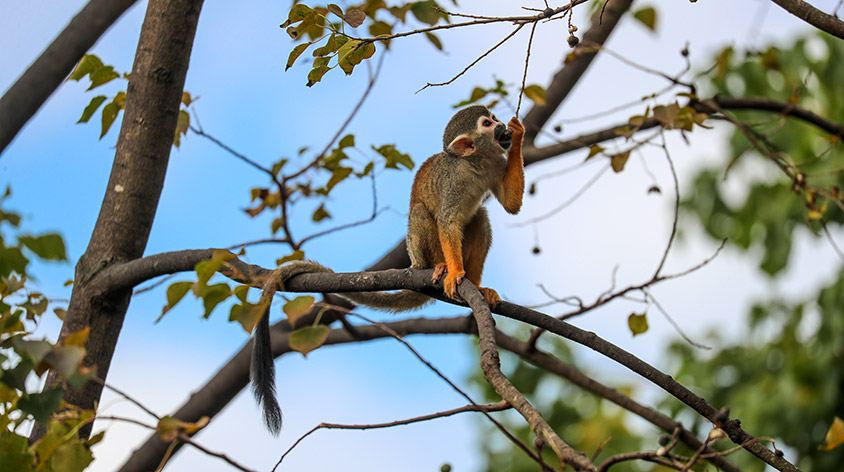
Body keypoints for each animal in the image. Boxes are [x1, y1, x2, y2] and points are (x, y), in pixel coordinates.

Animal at [254, 105, 524, 434]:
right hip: (418, 252)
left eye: (494, 118)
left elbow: (511, 205)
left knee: (480, 217)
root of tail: (415, 265)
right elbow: (447, 222)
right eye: (487, 124)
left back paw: (477, 284)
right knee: (424, 213)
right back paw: (441, 267)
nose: (501, 127)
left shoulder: (496, 163)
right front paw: (455, 273)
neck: (475, 163)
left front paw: (519, 133)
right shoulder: (452, 182)